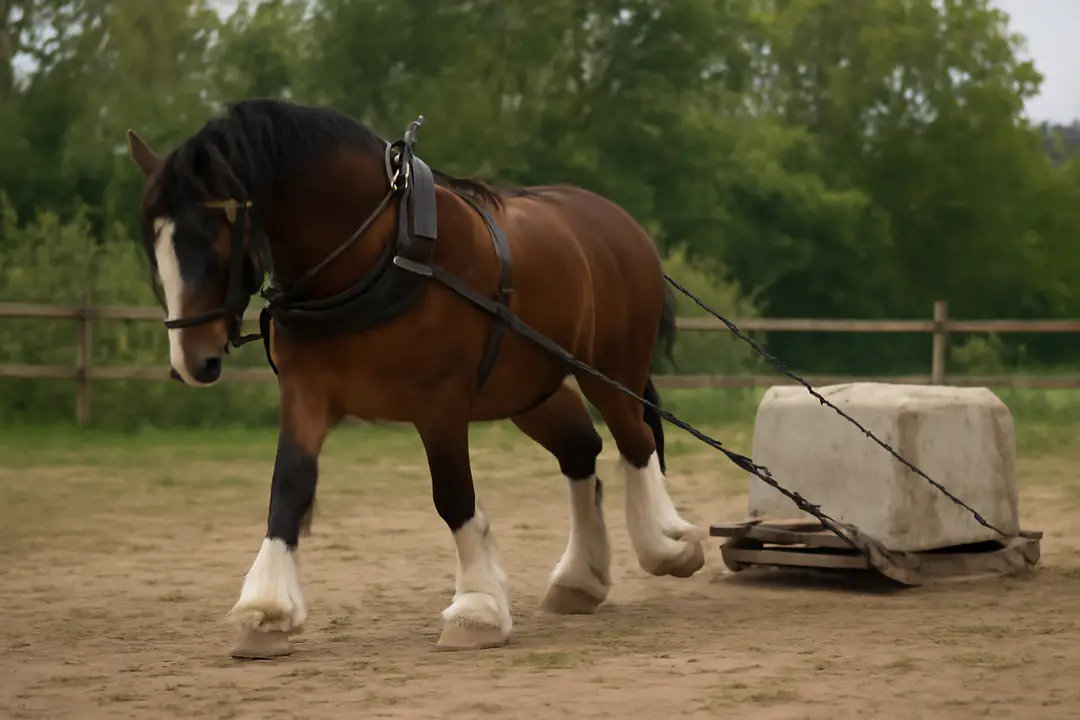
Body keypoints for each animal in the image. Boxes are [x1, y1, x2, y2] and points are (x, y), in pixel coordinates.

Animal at [125, 98, 706, 659]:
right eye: (153, 245)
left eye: (211, 239)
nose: (190, 362)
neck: (377, 255)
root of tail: (618, 222)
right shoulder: (307, 392)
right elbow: (288, 484)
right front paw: (265, 611)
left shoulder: (440, 403)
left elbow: (452, 495)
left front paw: (476, 610)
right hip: (528, 391)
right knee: (582, 449)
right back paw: (580, 579)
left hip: (610, 371)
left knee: (635, 440)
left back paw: (667, 545)